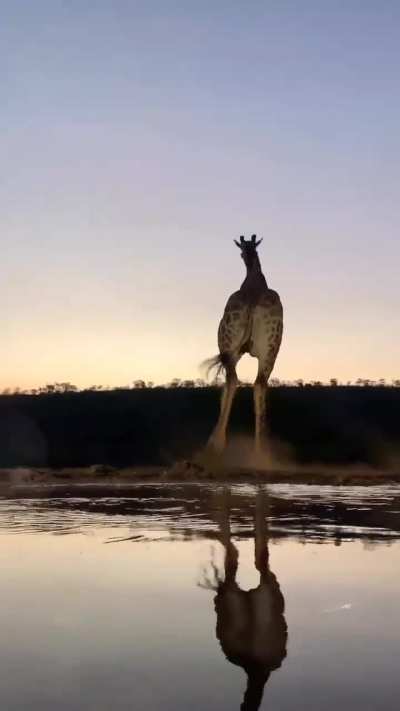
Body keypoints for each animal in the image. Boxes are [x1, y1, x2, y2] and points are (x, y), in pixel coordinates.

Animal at [206, 234, 283, 454]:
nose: (245, 256)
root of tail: (252, 303)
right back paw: (259, 447)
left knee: (236, 380)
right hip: (268, 349)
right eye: (242, 250)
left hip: (232, 344)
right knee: (257, 383)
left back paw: (218, 443)